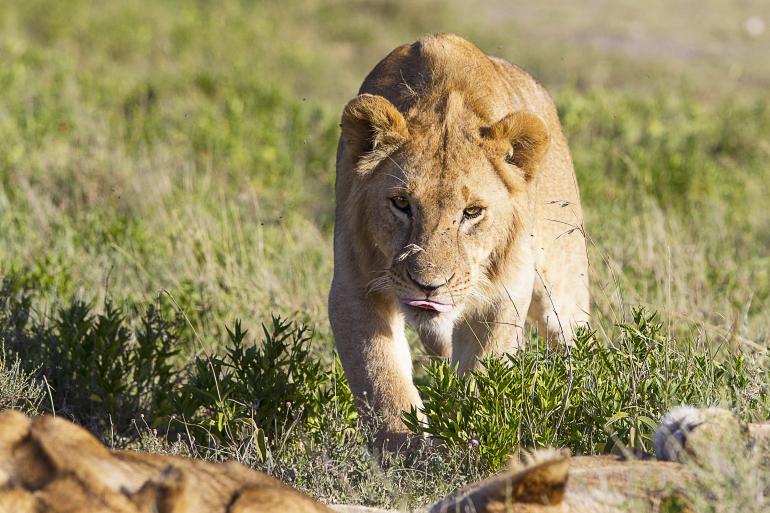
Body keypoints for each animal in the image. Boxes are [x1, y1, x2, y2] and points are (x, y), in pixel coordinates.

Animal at [326, 33, 588, 444]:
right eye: (401, 203)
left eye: (472, 212)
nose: (429, 285)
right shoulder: (354, 286)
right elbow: (381, 379)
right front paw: (407, 451)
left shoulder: (502, 293)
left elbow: (484, 375)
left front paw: (468, 437)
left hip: (563, 283)